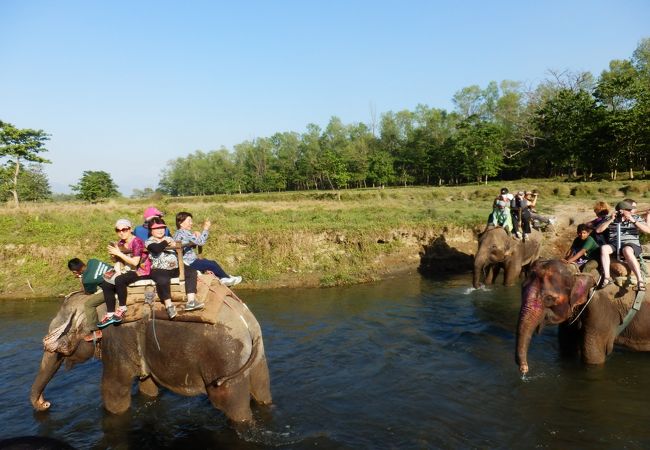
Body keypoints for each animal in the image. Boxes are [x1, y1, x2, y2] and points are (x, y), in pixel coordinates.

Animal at [30, 274, 270, 426]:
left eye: (59, 330)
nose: (46, 403)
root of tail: (248, 323)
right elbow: (147, 387)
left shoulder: (116, 338)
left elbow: (114, 391)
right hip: (254, 358)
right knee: (262, 391)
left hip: (226, 357)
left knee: (232, 405)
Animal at [512, 258, 644, 374]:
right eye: (522, 289)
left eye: (549, 298)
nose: (524, 370)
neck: (578, 272)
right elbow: (567, 346)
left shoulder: (601, 311)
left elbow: (593, 355)